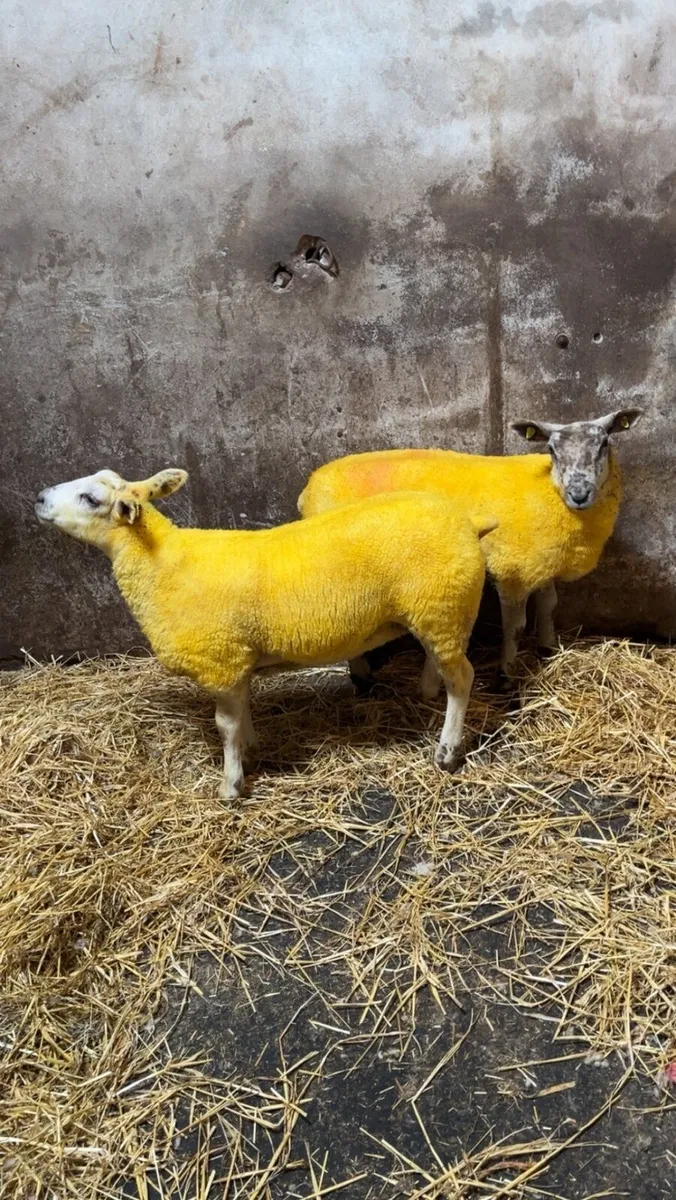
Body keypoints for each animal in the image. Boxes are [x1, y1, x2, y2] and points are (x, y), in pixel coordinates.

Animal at [35, 469, 498, 798]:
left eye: (91, 499)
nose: (39, 498)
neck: (161, 565)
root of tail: (467, 521)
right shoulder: (235, 660)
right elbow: (242, 712)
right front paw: (250, 753)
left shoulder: (219, 659)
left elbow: (224, 724)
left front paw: (230, 786)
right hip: (440, 611)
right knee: (443, 663)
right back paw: (428, 693)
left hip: (441, 604)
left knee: (463, 678)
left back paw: (447, 751)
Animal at [298, 409, 643, 690]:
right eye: (551, 450)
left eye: (604, 444)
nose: (579, 494)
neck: (549, 491)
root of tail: (309, 488)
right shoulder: (512, 570)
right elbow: (515, 628)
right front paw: (506, 677)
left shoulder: (542, 562)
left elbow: (548, 606)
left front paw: (548, 648)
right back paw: (362, 678)